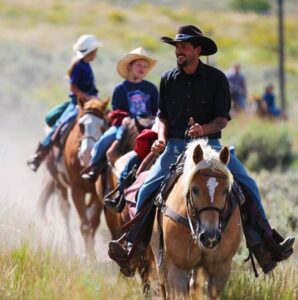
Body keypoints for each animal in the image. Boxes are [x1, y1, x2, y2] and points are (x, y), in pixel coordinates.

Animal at [37, 98, 111, 258]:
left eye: (103, 125)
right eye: (81, 125)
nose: (87, 153)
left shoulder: (96, 193)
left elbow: (93, 222)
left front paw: (91, 249)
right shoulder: (77, 189)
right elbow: (85, 225)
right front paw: (90, 256)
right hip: (59, 183)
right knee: (65, 210)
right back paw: (70, 248)